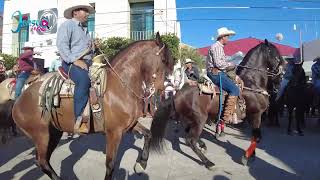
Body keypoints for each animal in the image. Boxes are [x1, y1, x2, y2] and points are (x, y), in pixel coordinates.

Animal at [11, 32, 175, 180]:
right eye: (163, 60)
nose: (165, 90)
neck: (119, 85)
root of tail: (18, 101)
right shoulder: (114, 132)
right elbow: (110, 165)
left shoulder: (128, 125)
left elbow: (148, 134)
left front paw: (141, 164)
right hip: (42, 135)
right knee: (42, 161)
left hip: (54, 132)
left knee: (43, 161)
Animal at [149, 39, 284, 169]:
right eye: (277, 56)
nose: (281, 76)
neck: (252, 83)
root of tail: (177, 93)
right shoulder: (256, 114)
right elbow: (257, 137)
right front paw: (246, 157)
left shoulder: (253, 116)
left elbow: (254, 136)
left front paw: (252, 155)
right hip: (200, 119)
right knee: (191, 140)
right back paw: (208, 162)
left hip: (190, 119)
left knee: (188, 134)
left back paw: (203, 146)